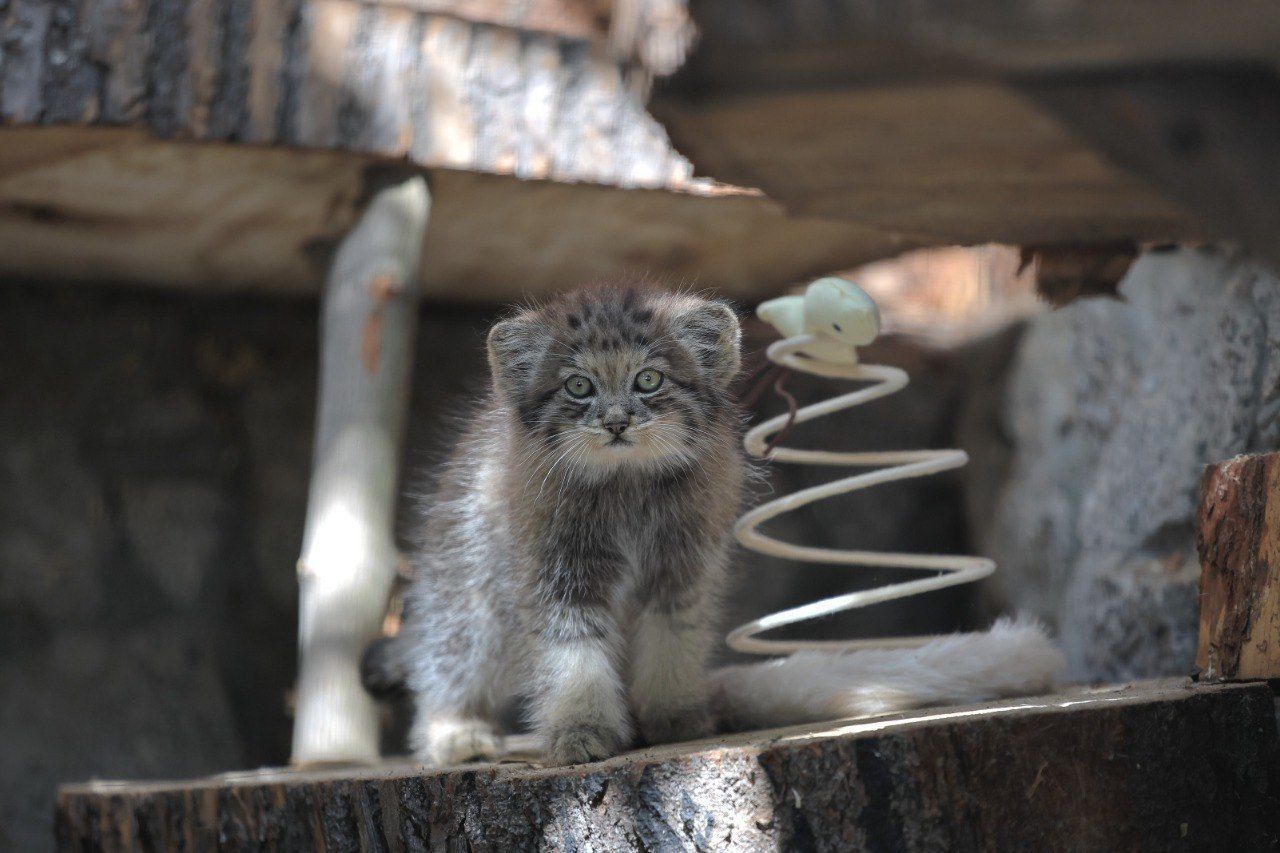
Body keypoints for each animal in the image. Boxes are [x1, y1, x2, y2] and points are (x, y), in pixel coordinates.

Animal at [394, 280, 747, 763]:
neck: (625, 484)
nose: (616, 422)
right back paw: (454, 732)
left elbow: (672, 642)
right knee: (450, 659)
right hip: (468, 594)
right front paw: (581, 728)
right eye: (578, 386)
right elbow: (573, 658)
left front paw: (673, 714)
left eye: (649, 379)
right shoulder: (557, 573)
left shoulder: (680, 570)